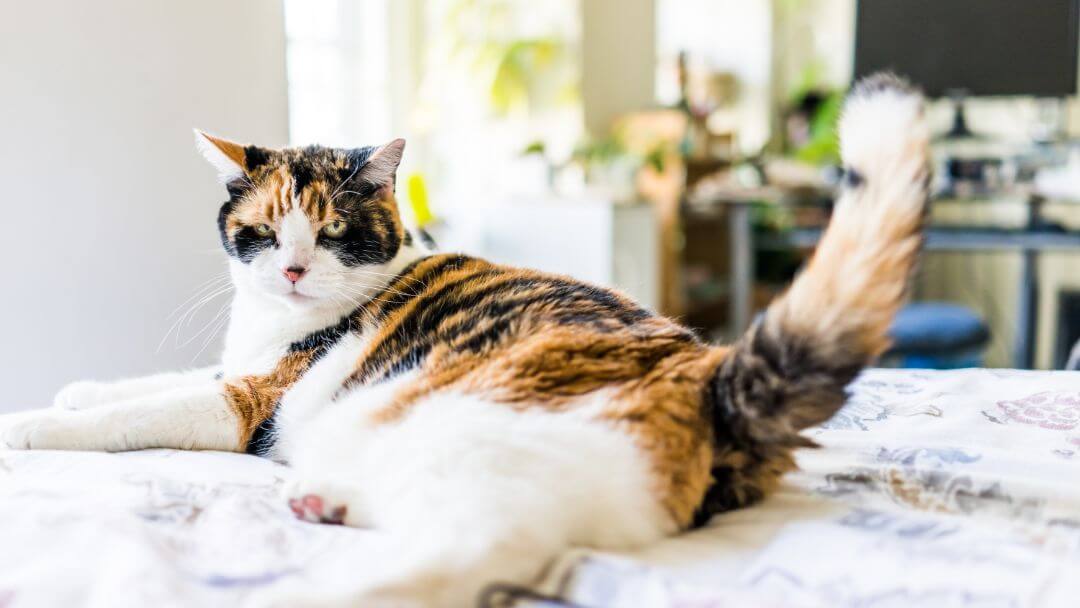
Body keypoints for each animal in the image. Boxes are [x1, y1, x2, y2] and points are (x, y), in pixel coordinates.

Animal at [0, 73, 928, 604]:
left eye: (332, 232)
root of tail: (711, 373)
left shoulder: (249, 400)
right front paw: (71, 390)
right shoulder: (239, 365)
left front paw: (32, 426)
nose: (294, 270)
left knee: (478, 549)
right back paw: (327, 501)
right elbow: (148, 381)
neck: (273, 325)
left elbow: (142, 413)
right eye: (263, 231)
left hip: (475, 432)